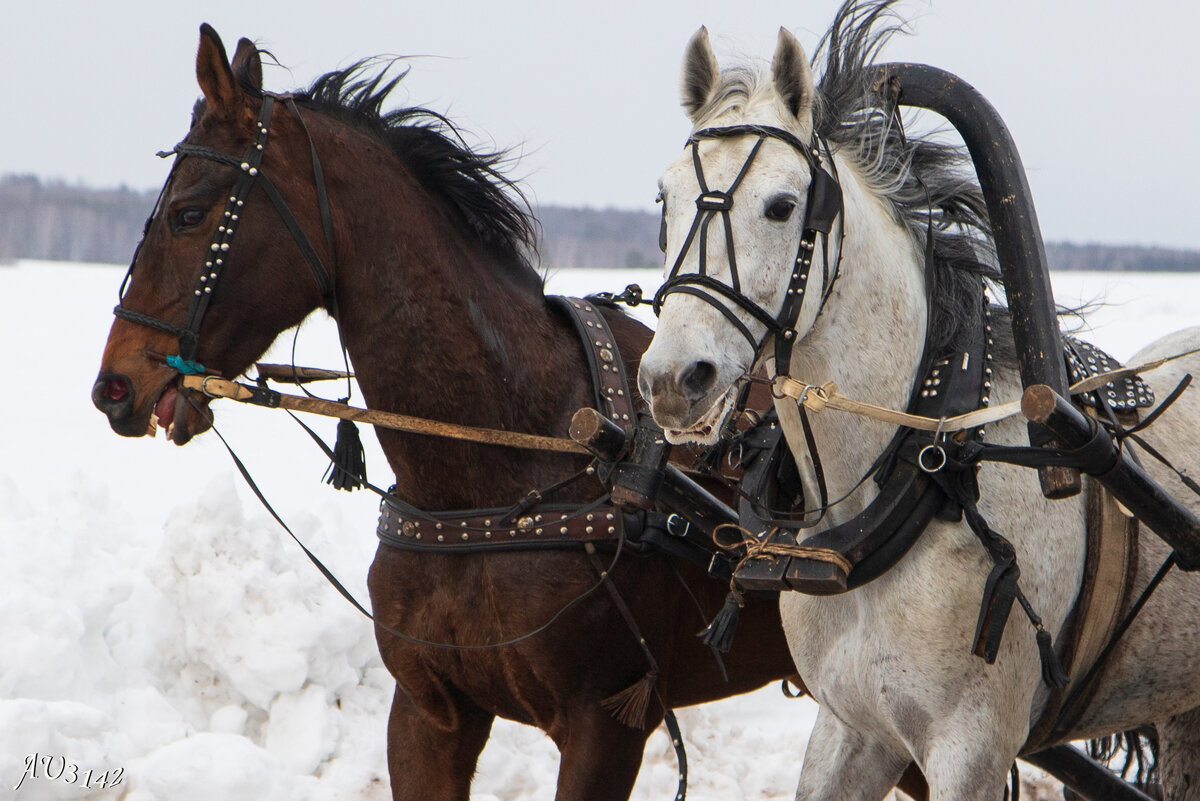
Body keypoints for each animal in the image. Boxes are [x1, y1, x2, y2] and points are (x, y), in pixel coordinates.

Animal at [643, 6, 1200, 801]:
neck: (920, 469)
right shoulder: (852, 730)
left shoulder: (971, 748)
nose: (671, 378)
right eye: (665, 199)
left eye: (782, 205)